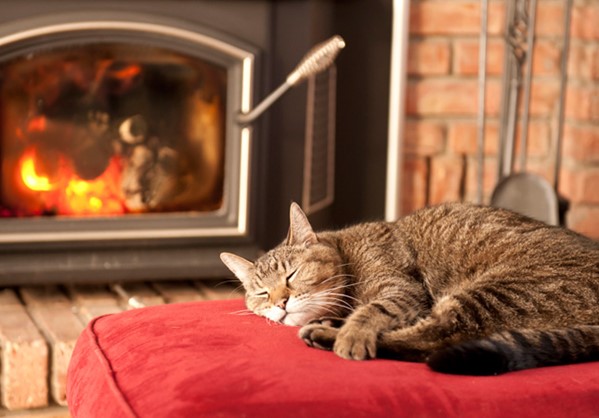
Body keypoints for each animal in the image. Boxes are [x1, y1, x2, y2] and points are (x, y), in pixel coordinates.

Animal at [219, 202, 599, 376]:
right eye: (262, 294)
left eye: (291, 275)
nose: (281, 302)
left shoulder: (400, 290)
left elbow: (373, 311)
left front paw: (351, 333)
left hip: (491, 292)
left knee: (432, 339)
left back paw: (328, 335)